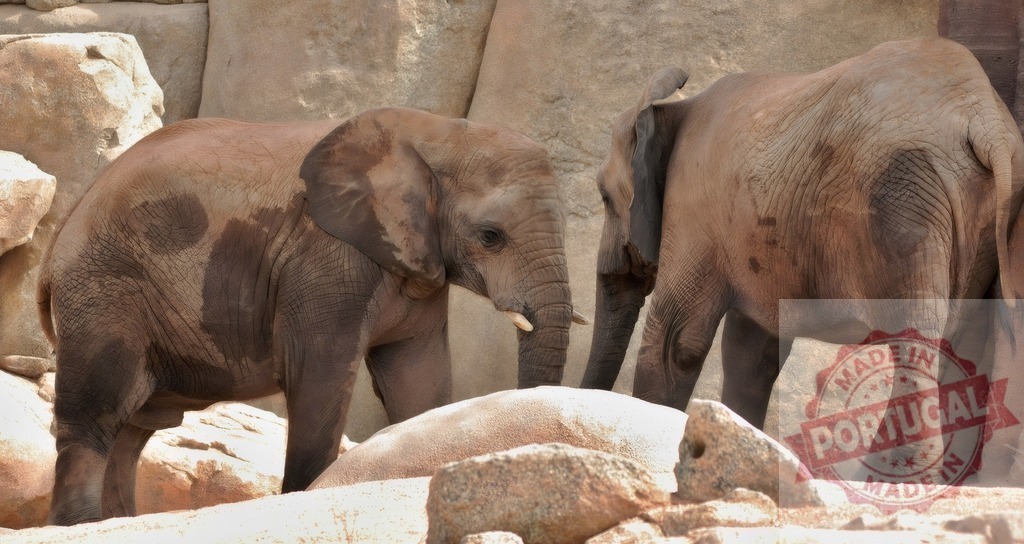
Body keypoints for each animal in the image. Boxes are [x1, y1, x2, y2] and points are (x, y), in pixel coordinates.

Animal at [39, 107, 580, 525]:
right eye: (491, 236)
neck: (437, 131)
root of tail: (62, 228)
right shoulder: (324, 259)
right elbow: (319, 377)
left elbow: (419, 379)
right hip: (103, 289)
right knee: (97, 413)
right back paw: (79, 526)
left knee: (132, 430)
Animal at [580, 38, 1024, 433]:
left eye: (604, 197)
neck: (671, 109)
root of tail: (984, 119)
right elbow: (751, 352)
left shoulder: (694, 207)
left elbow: (676, 342)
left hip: (902, 201)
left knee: (915, 349)